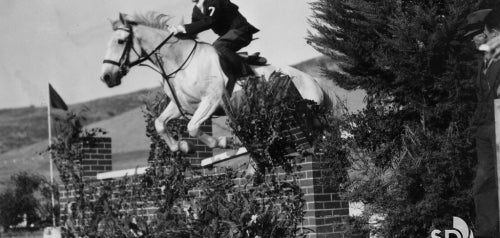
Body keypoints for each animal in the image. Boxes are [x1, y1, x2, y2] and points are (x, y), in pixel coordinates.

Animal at [100, 12, 338, 154]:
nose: (106, 78)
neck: (180, 62)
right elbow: (160, 123)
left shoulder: (212, 100)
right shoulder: (182, 105)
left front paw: (224, 142)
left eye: (120, 41)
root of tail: (314, 81)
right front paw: (181, 146)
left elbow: (193, 127)